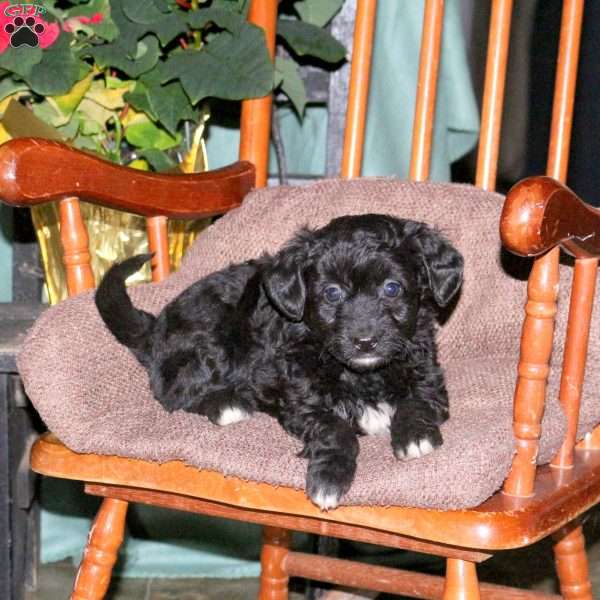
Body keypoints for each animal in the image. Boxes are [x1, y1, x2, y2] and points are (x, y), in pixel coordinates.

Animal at [96, 213, 464, 508]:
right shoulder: (301, 400)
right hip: (214, 338)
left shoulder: (427, 373)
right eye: (331, 293)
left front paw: (414, 436)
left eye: (392, 288)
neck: (363, 374)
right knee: (175, 393)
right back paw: (227, 404)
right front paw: (329, 479)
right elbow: (335, 429)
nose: (365, 341)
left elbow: (417, 401)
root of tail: (156, 327)